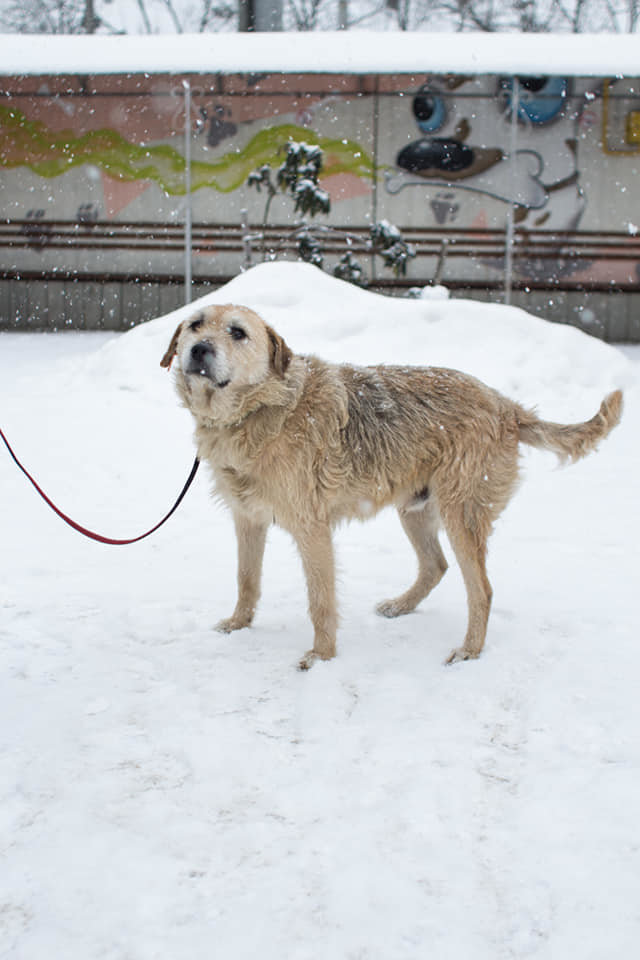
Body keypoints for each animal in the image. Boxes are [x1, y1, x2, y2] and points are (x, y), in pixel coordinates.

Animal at [161, 304, 624, 672]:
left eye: (237, 332)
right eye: (195, 324)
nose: (199, 349)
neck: (259, 409)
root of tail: (505, 405)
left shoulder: (312, 530)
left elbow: (321, 601)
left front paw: (322, 657)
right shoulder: (248, 518)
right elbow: (246, 579)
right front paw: (238, 624)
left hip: (461, 514)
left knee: (482, 591)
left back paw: (470, 650)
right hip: (415, 509)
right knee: (436, 565)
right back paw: (403, 605)